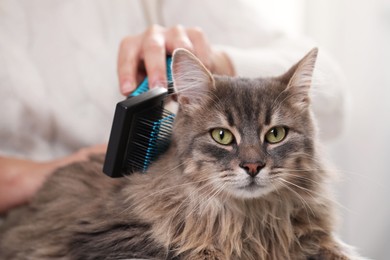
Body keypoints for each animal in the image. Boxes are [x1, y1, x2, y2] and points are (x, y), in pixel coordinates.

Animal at [0, 48, 366, 260]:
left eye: (275, 134)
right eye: (222, 136)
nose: (252, 166)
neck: (248, 220)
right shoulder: (111, 237)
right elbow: (200, 252)